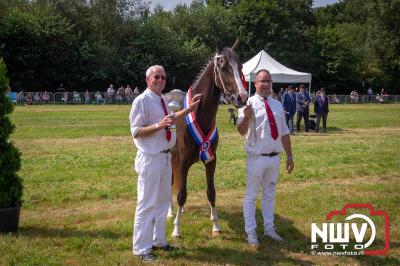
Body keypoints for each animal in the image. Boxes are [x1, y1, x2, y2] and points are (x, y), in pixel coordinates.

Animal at [167, 40, 245, 237]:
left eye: (240, 66)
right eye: (223, 67)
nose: (242, 97)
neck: (197, 113)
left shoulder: (211, 160)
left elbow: (211, 192)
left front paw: (216, 225)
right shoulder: (183, 161)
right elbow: (181, 194)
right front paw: (176, 229)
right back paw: (170, 212)